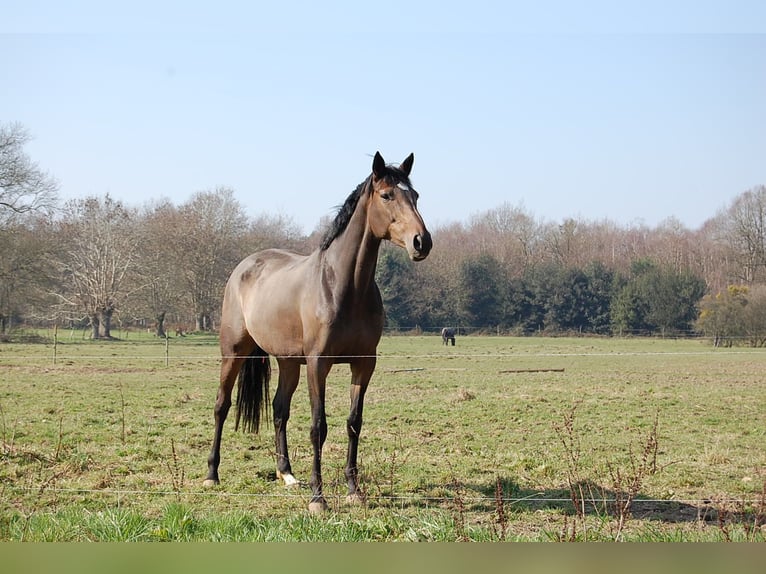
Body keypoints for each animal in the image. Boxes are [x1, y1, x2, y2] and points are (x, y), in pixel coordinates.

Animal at [204, 152, 432, 512]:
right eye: (387, 195)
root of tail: (245, 266)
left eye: (416, 196)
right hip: (234, 353)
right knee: (221, 405)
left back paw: (286, 474)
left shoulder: (364, 364)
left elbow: (354, 423)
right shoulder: (318, 364)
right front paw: (318, 498)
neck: (344, 286)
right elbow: (318, 427)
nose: (422, 242)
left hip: (287, 363)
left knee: (279, 410)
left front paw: (354, 490)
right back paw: (212, 474)